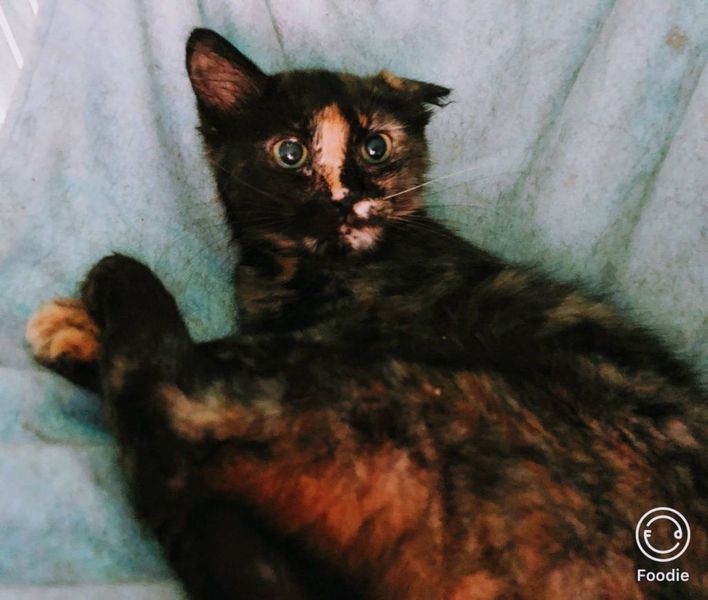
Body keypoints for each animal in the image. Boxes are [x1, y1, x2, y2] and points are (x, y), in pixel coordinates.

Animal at [26, 27, 706, 599]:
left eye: (376, 146)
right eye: (291, 153)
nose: (348, 196)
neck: (299, 272)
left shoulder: (332, 334)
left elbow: (214, 347)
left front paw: (76, 322)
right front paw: (80, 333)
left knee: (167, 410)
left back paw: (114, 280)